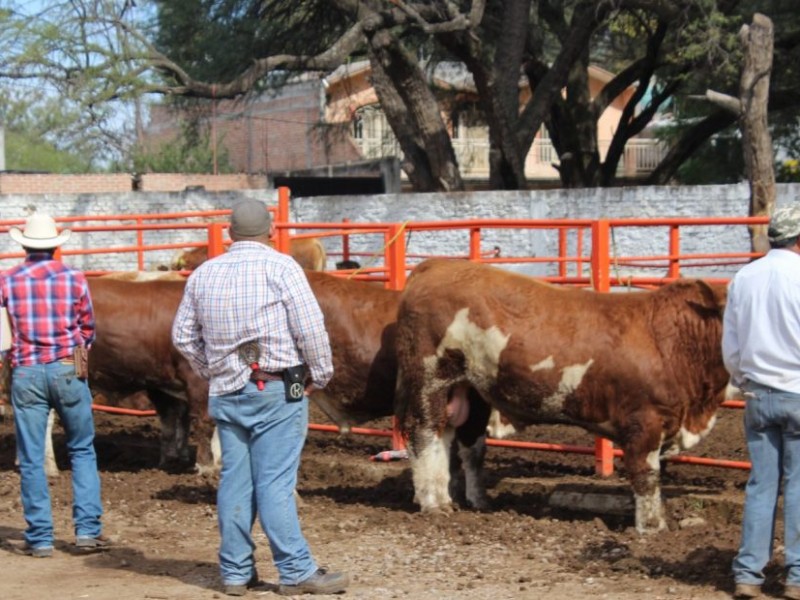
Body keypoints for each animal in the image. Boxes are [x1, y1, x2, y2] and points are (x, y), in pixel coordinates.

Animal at [394, 260, 732, 532]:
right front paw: (652, 529)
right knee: (423, 434)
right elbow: (646, 477)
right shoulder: (643, 422)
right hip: (430, 379)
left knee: (454, 437)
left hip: (467, 389)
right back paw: (432, 503)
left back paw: (461, 500)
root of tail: (436, 265)